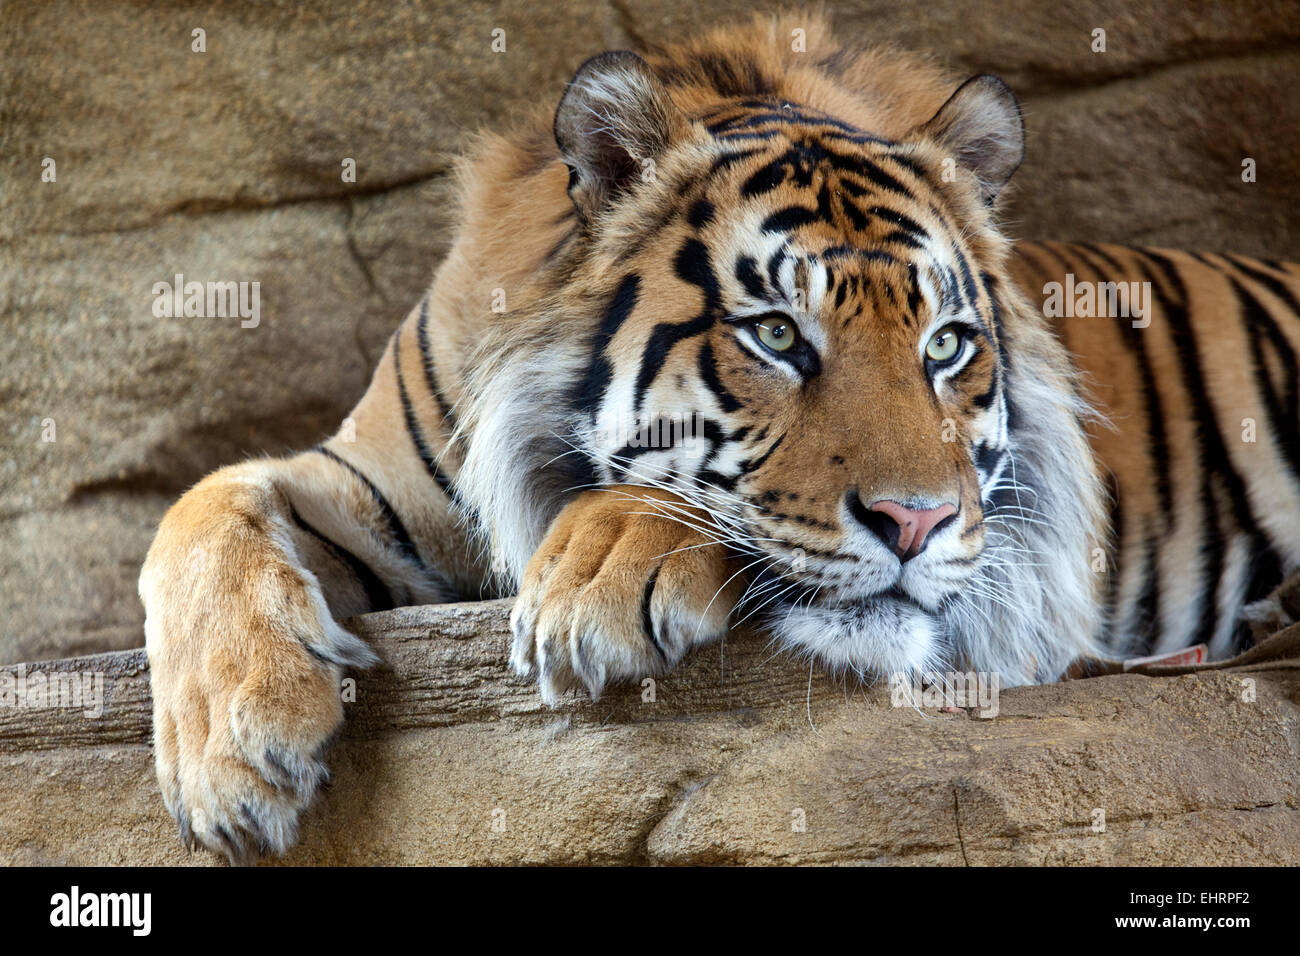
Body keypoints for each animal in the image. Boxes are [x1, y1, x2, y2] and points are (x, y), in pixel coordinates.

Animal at [139, 13, 1300, 868]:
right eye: (776, 334)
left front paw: (599, 579)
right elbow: (196, 511)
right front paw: (235, 754)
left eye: (945, 344)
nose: (916, 523)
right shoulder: (364, 484)